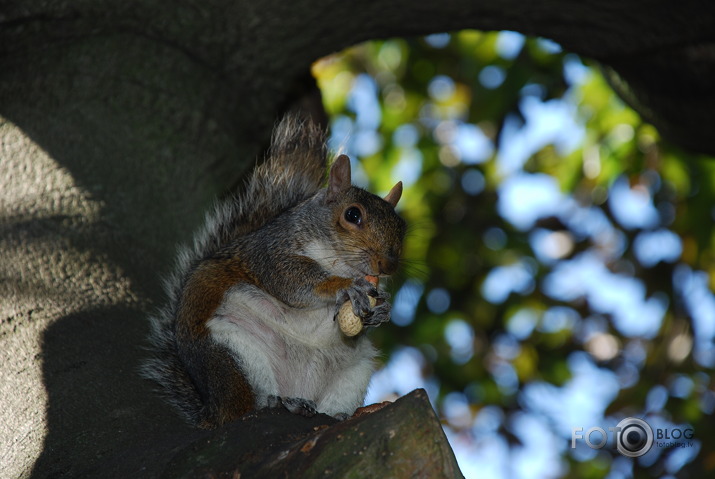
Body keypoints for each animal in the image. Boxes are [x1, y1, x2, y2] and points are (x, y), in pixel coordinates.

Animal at [141, 114, 408, 430]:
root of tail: (213, 411)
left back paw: (333, 414)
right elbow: (293, 281)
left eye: (401, 227)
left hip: (354, 373)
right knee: (245, 405)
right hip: (232, 352)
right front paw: (345, 287)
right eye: (352, 214)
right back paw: (278, 402)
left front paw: (381, 310)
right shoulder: (270, 252)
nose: (388, 265)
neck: (339, 261)